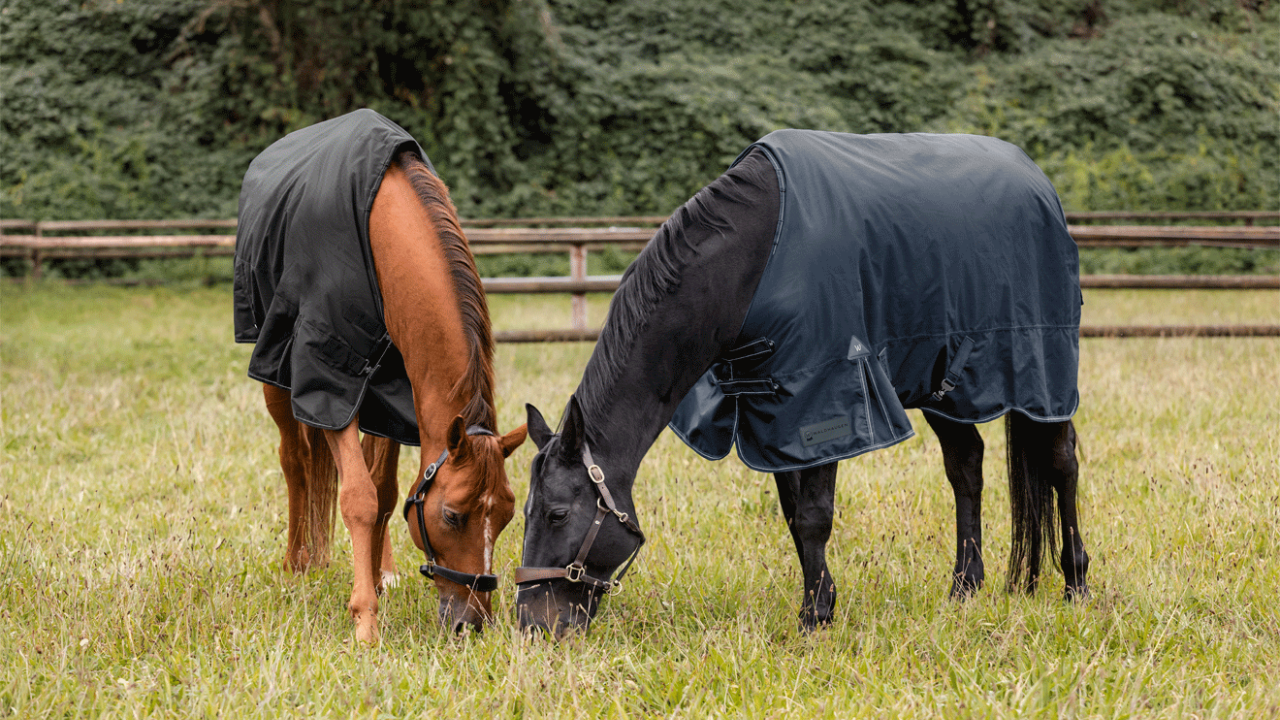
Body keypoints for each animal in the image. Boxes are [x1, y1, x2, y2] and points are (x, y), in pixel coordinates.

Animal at [234, 110, 526, 642]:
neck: (381, 224)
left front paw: (375, 580)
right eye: (453, 516)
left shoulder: (395, 394)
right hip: (273, 370)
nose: (472, 622)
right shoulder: (328, 379)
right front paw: (365, 620)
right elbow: (358, 498)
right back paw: (297, 563)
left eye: (508, 513)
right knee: (294, 459)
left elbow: (386, 495)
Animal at [515, 130, 1089, 637]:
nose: (532, 626)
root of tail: (1038, 181)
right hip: (944, 385)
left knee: (1061, 462)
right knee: (966, 467)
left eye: (557, 513)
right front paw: (822, 604)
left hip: (1043, 372)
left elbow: (814, 516)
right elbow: (795, 517)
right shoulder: (773, 411)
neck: (752, 259)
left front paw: (813, 620)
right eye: (524, 512)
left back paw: (1076, 583)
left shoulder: (826, 396)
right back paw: (964, 588)